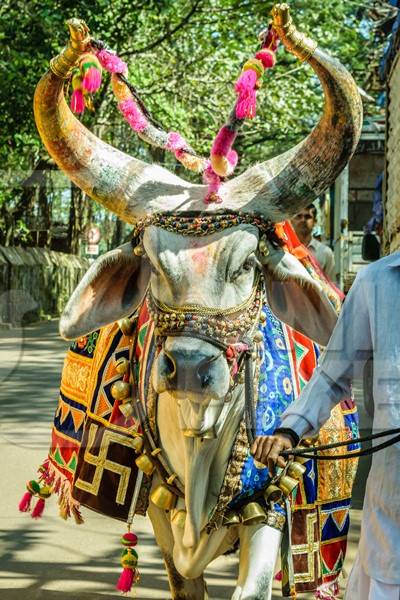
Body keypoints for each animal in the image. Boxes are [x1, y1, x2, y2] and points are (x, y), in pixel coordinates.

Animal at [22, 4, 366, 600]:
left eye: (249, 264)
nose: (187, 368)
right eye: (154, 264)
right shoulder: (167, 522)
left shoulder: (268, 508)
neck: (200, 441)